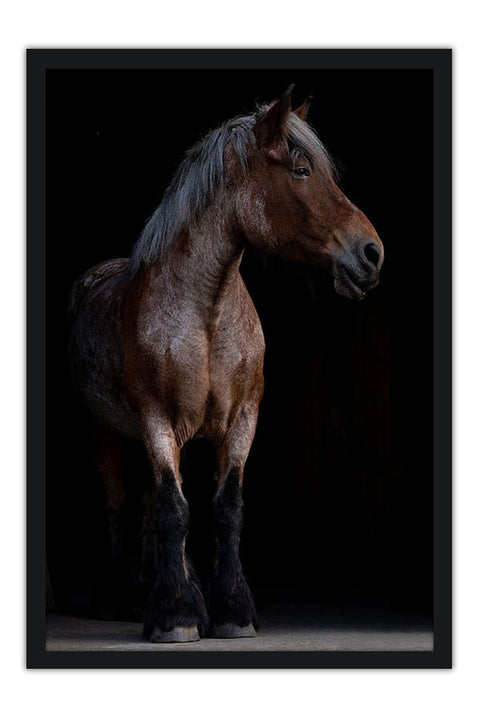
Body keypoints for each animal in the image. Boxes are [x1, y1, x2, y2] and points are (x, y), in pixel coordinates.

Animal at [68, 85, 384, 643]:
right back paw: (117, 598)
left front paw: (230, 611)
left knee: (146, 507)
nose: (372, 254)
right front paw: (176, 615)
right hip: (102, 432)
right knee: (117, 506)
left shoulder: (242, 421)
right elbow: (175, 511)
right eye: (301, 170)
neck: (207, 313)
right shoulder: (158, 422)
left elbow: (225, 510)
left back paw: (145, 593)